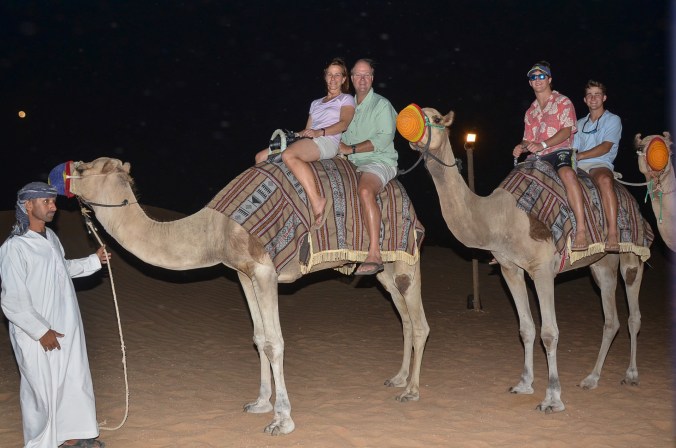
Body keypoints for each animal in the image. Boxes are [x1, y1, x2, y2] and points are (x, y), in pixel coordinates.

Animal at [64, 157, 429, 435]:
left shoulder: (265, 270)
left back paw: (412, 391)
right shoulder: (243, 272)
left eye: (81, 169)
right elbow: (259, 337)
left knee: (419, 321)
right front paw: (260, 403)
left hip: (407, 256)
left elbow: (275, 342)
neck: (214, 230)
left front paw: (282, 420)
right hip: (383, 269)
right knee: (404, 317)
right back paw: (398, 379)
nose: (61, 175)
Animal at [399, 106, 650, 413]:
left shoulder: (542, 270)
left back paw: (631, 375)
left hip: (632, 254)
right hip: (600, 263)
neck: (498, 217)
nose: (406, 124)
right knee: (611, 318)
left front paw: (552, 398)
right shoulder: (510, 268)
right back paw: (591, 378)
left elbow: (549, 333)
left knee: (633, 314)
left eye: (435, 119)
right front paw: (524, 383)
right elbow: (526, 329)